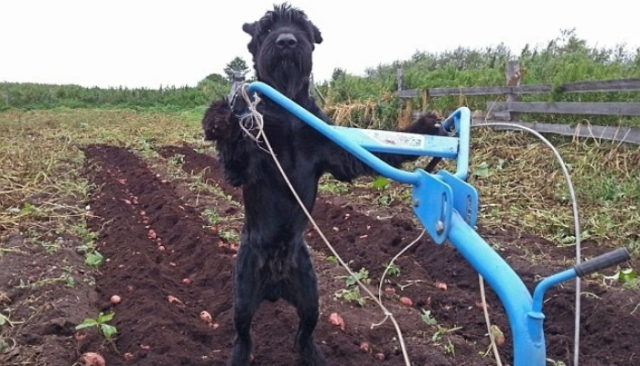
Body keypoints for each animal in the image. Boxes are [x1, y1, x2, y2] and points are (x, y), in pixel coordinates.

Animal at [202, 3, 442, 366]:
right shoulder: (246, 165)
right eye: (266, 28)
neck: (288, 110)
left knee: (304, 333)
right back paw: (241, 355)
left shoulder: (339, 155)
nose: (286, 41)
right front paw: (217, 117)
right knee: (244, 335)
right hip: (242, 297)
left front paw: (425, 126)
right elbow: (232, 149)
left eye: (301, 27)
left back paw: (313, 355)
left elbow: (372, 152)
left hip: (310, 296)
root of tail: (275, 289)